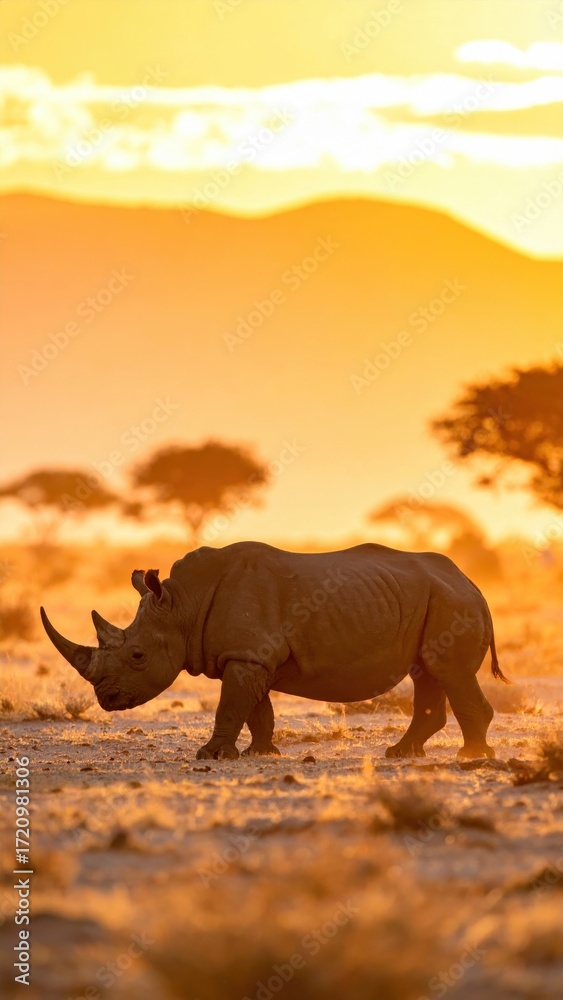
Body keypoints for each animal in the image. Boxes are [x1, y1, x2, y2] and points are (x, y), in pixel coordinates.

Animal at [41, 541, 507, 760]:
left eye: (137, 655)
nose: (106, 699)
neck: (182, 605)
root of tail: (473, 583)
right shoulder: (249, 655)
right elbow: (256, 709)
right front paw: (260, 753)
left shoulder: (247, 655)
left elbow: (231, 706)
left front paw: (210, 756)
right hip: (436, 599)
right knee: (428, 671)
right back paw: (401, 754)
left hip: (452, 601)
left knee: (448, 671)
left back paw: (471, 756)